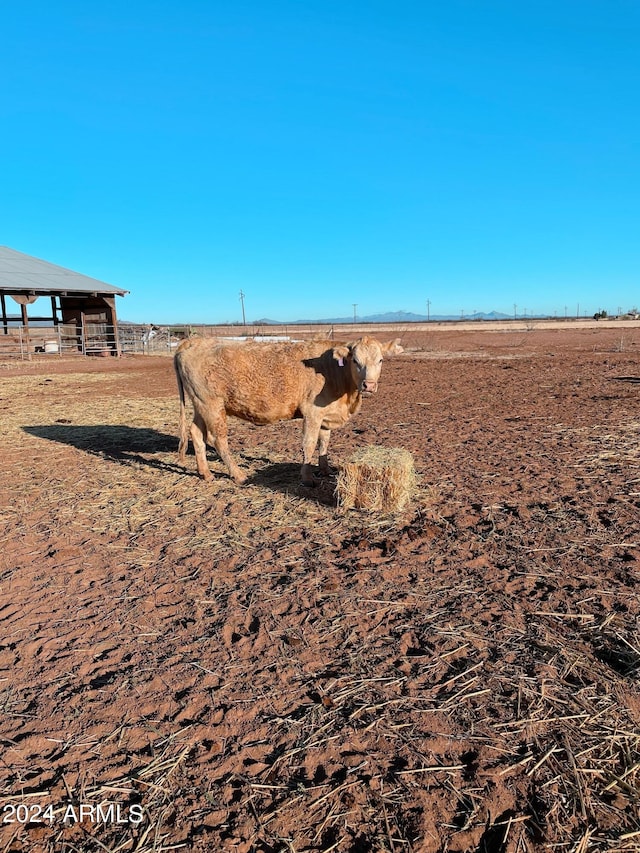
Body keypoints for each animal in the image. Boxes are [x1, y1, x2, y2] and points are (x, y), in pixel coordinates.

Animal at [172, 338, 402, 486]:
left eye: (380, 360)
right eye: (355, 360)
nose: (369, 385)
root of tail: (194, 341)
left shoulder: (325, 415)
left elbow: (324, 443)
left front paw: (325, 470)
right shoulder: (312, 412)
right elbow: (309, 444)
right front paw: (307, 478)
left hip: (201, 405)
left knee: (196, 434)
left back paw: (205, 473)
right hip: (212, 406)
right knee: (218, 440)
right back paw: (238, 475)